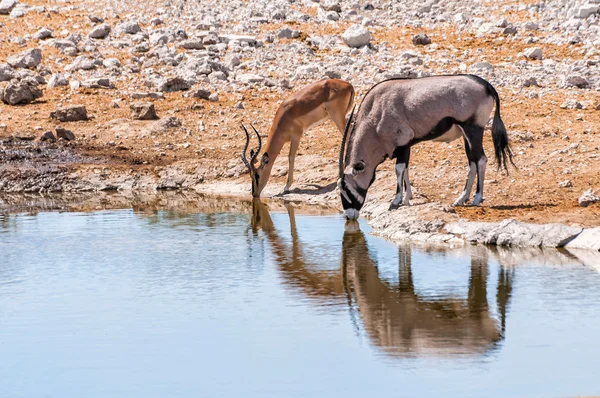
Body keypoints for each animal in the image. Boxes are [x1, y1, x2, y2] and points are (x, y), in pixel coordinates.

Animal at [340, 74, 512, 221]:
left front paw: (396, 201)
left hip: (473, 129)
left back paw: (477, 198)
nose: (349, 215)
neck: (375, 112)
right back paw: (462, 198)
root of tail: (486, 85)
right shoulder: (406, 146)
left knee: (481, 160)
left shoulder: (403, 143)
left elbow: (399, 169)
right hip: (466, 135)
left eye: (346, 188)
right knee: (472, 162)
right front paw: (407, 198)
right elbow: (406, 169)